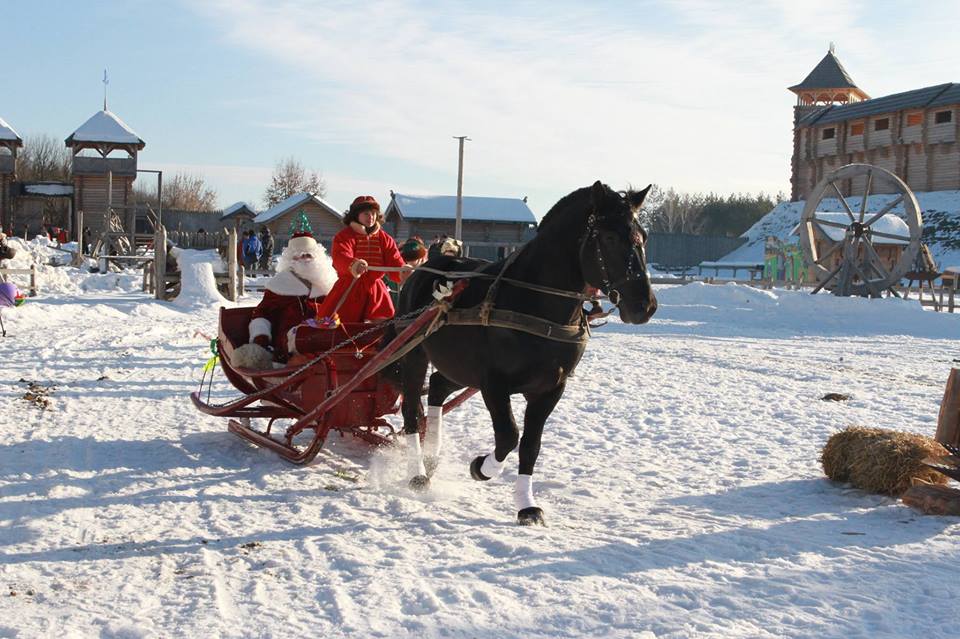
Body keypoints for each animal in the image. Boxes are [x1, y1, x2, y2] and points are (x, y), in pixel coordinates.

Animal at [388, 180, 652, 524]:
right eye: (608, 237)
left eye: (643, 236)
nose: (644, 306)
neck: (535, 303)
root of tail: (424, 270)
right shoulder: (493, 384)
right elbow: (509, 436)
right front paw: (481, 468)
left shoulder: (550, 388)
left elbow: (530, 445)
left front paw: (526, 505)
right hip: (415, 354)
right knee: (411, 410)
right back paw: (418, 472)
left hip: (458, 367)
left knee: (436, 389)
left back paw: (432, 457)